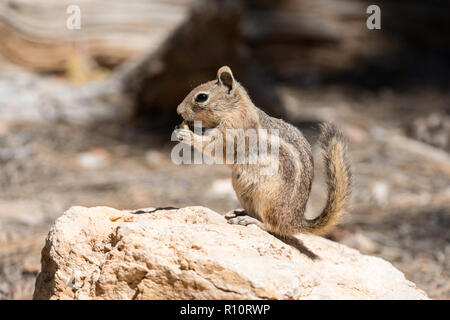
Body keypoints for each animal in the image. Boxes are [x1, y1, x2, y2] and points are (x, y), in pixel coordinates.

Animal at [174, 66, 354, 256]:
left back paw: (249, 221)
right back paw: (241, 213)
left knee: (271, 225)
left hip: (268, 199)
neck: (236, 109)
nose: (178, 110)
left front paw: (188, 134)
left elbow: (215, 146)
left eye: (201, 97)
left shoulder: (232, 132)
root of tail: (295, 221)